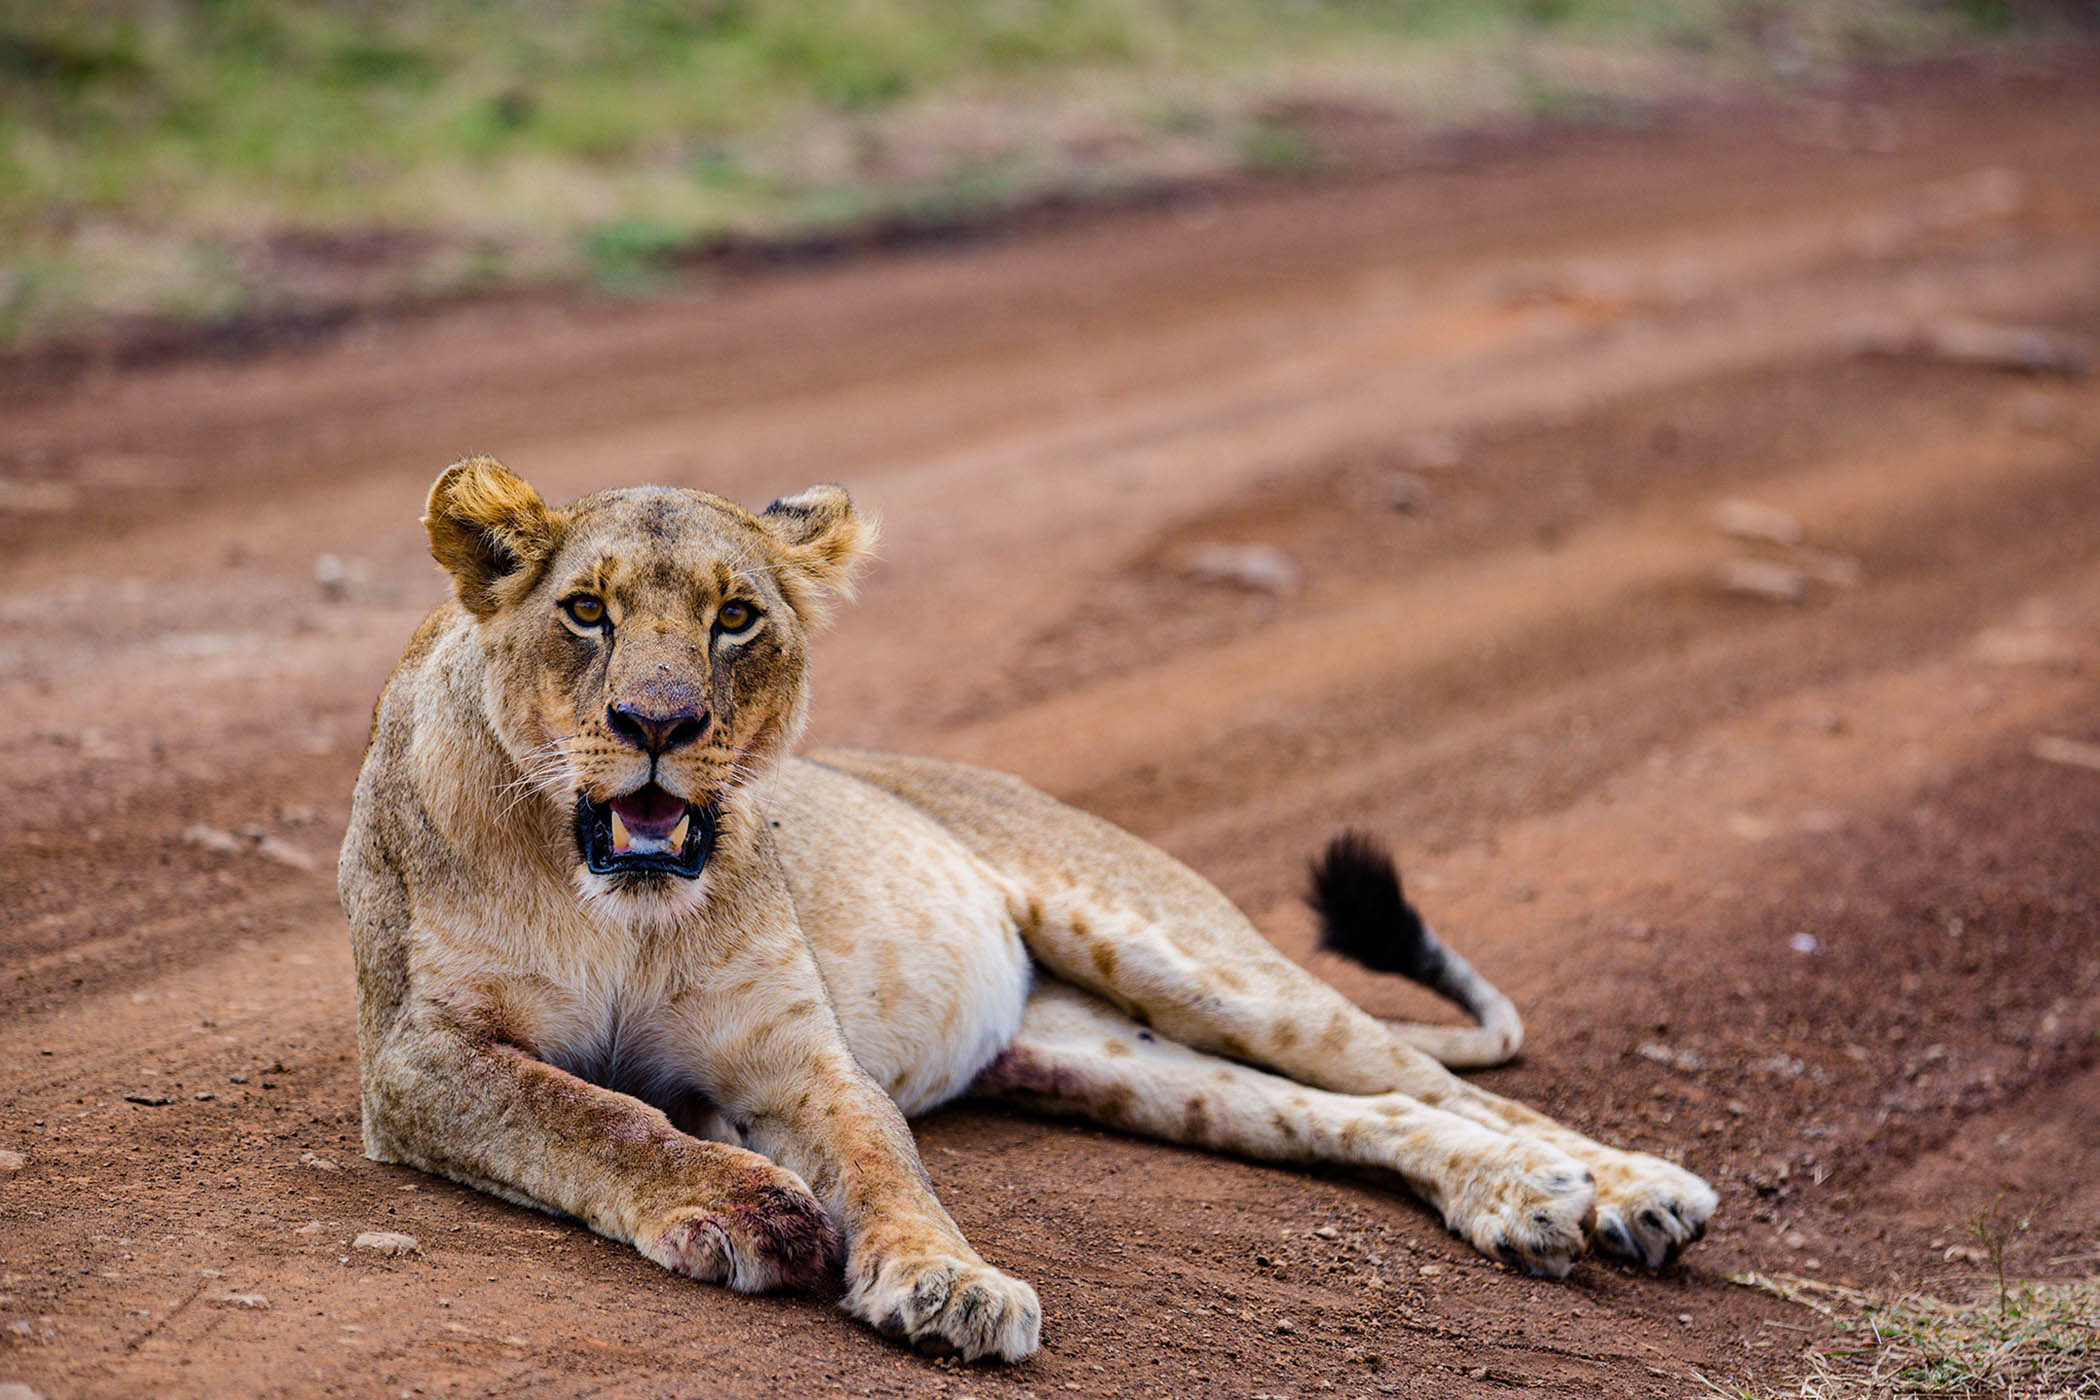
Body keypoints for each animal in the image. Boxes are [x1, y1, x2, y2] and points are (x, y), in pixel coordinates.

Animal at [339, 457, 1717, 1363]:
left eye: (735, 619)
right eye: (587, 611)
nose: (659, 725)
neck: (616, 900)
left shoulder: (800, 1059)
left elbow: (887, 1160)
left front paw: (949, 1282)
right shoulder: (419, 1058)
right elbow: (592, 1111)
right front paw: (749, 1207)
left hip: (1194, 961)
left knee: (1432, 1080)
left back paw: (1623, 1189)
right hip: (1114, 1060)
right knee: (1363, 1113)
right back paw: (1518, 1197)